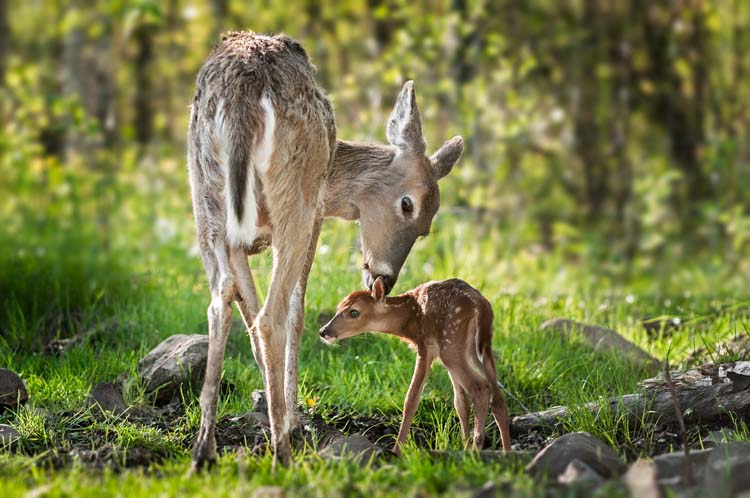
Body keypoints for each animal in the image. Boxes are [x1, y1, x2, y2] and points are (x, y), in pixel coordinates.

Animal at [187, 32, 464, 470]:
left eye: (426, 228)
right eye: (409, 205)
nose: (384, 277)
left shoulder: (239, 242)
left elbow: (243, 307)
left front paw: (271, 407)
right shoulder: (316, 213)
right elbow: (296, 309)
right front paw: (292, 421)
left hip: (205, 196)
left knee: (221, 302)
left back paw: (204, 451)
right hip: (295, 199)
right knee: (273, 314)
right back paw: (282, 452)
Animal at [320, 278, 516, 454]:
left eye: (354, 312)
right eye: (338, 308)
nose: (323, 331)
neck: (409, 321)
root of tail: (482, 307)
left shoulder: (426, 346)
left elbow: (412, 398)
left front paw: (397, 451)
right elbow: (460, 404)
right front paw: (464, 445)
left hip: (451, 344)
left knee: (480, 388)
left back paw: (477, 447)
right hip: (479, 348)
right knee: (497, 397)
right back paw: (505, 451)